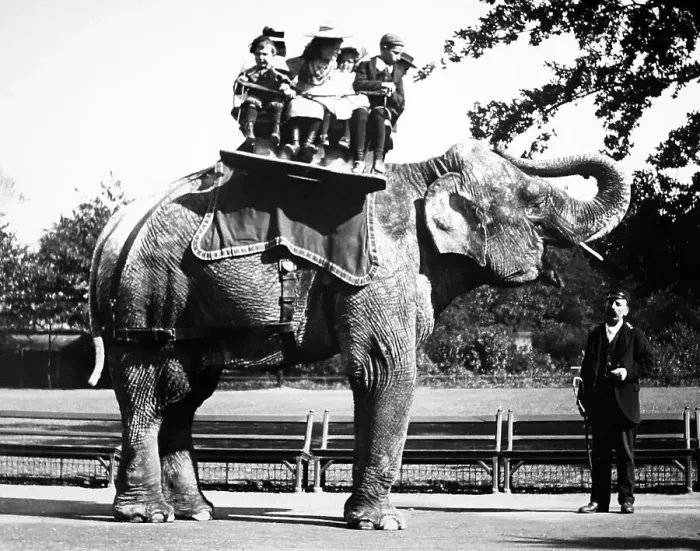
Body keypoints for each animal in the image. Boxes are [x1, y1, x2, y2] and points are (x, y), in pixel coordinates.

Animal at [88, 139, 630, 529]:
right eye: (535, 200)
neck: (426, 169)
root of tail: (113, 228)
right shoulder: (381, 268)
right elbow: (384, 369)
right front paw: (385, 524)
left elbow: (381, 373)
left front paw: (366, 518)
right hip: (145, 297)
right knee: (148, 390)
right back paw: (147, 515)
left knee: (185, 392)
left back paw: (196, 512)